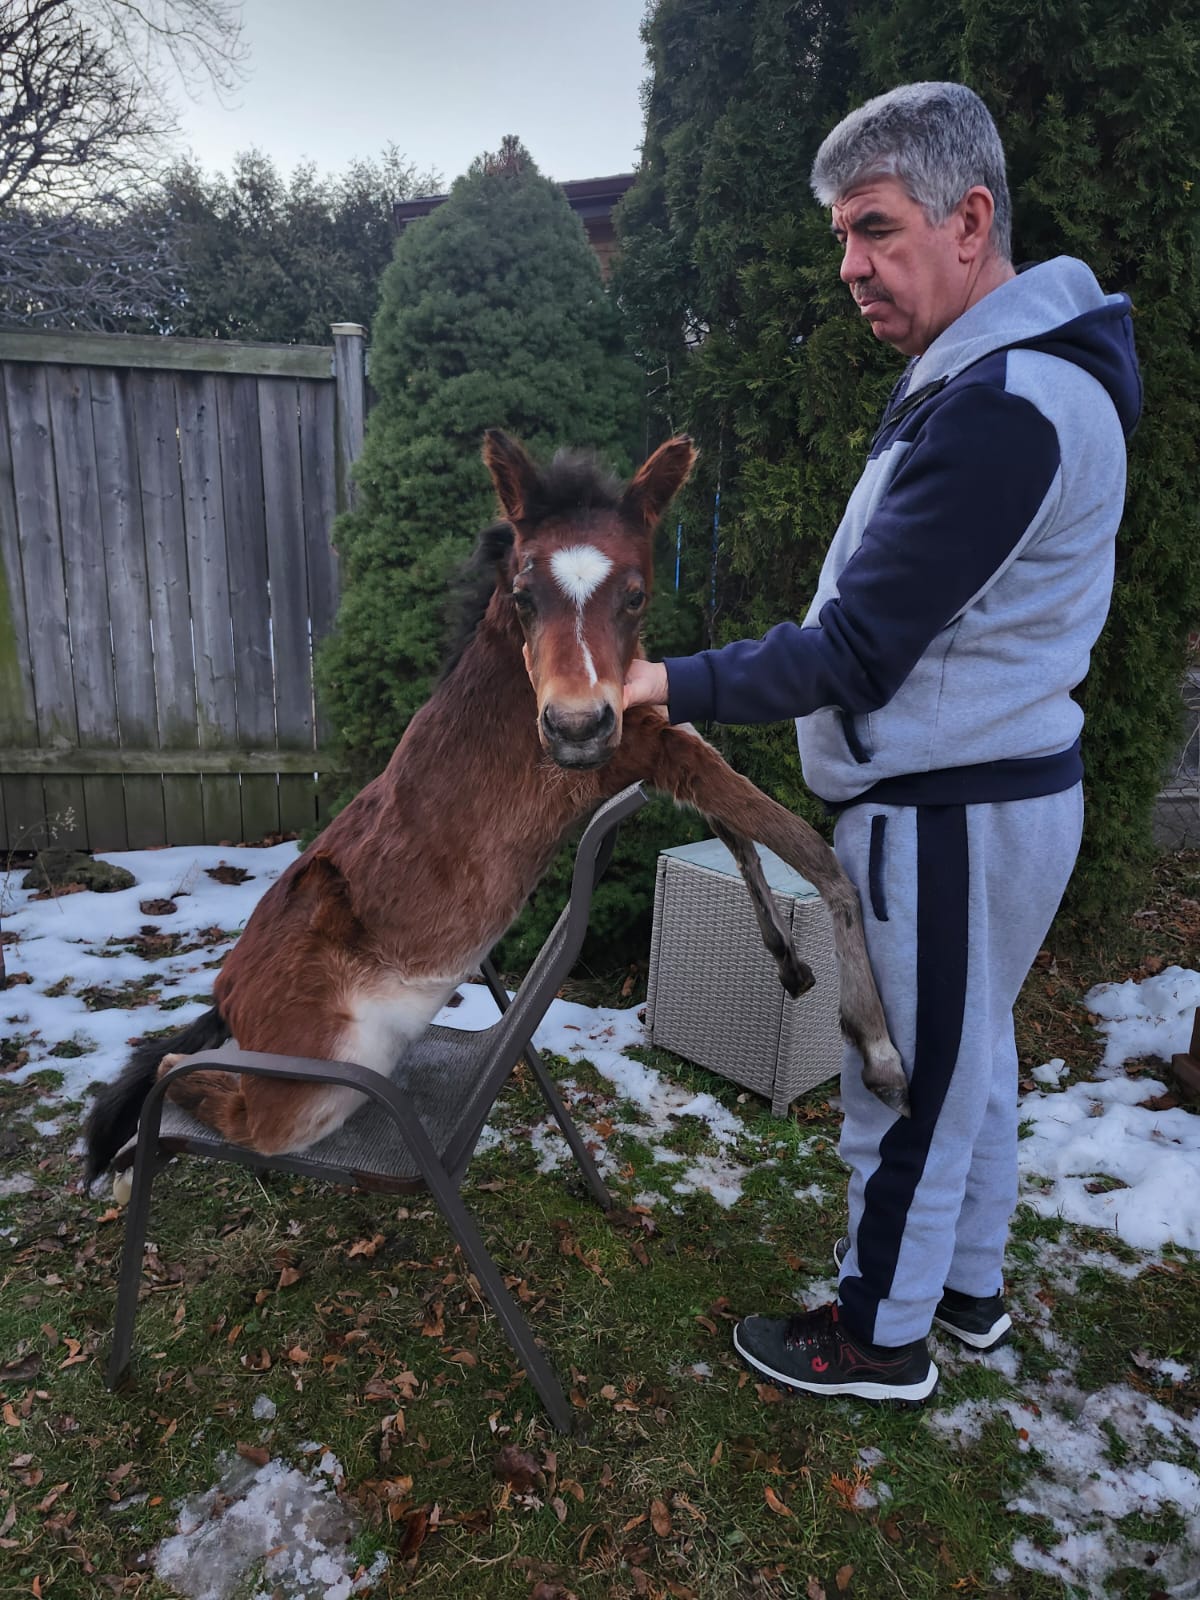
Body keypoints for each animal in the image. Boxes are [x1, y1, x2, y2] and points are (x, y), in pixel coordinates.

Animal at [84, 430, 907, 1183]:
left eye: (635, 591)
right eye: (523, 594)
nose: (573, 728)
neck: (525, 682)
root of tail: (228, 994)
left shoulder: (640, 732)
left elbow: (738, 829)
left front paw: (790, 964)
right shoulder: (632, 750)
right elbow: (807, 847)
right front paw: (877, 1050)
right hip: (314, 1095)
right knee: (191, 1081)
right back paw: (129, 1159)